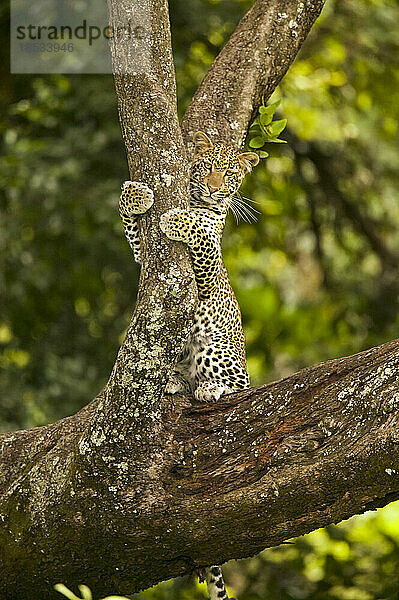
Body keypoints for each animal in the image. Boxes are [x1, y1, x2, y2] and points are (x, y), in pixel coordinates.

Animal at [119, 131, 260, 600]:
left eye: (230, 173)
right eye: (208, 167)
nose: (216, 190)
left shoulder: (206, 266)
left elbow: (201, 235)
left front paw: (179, 220)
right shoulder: (148, 265)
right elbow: (132, 229)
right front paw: (135, 194)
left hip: (214, 350)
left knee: (238, 388)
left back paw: (209, 389)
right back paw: (174, 385)